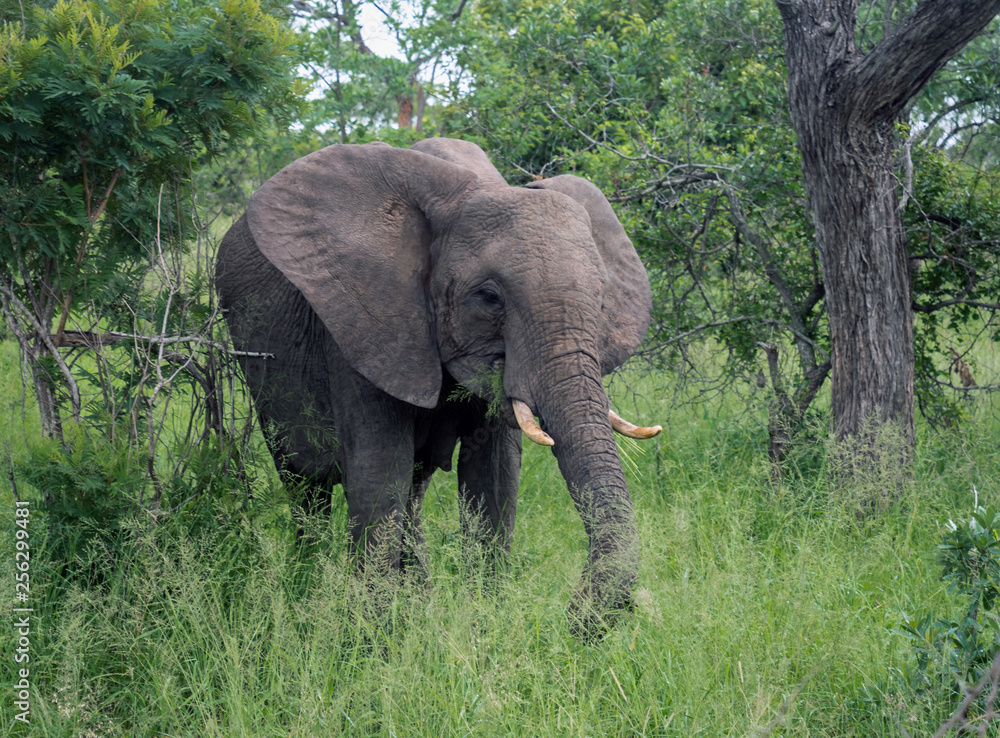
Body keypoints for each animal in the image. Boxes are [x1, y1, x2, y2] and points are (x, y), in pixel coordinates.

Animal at [215, 139, 660, 640]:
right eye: (490, 297)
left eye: (601, 300)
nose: (573, 615)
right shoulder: (363, 327)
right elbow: (378, 473)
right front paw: (371, 641)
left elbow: (494, 478)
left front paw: (483, 623)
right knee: (305, 486)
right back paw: (305, 592)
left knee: (411, 490)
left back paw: (416, 603)